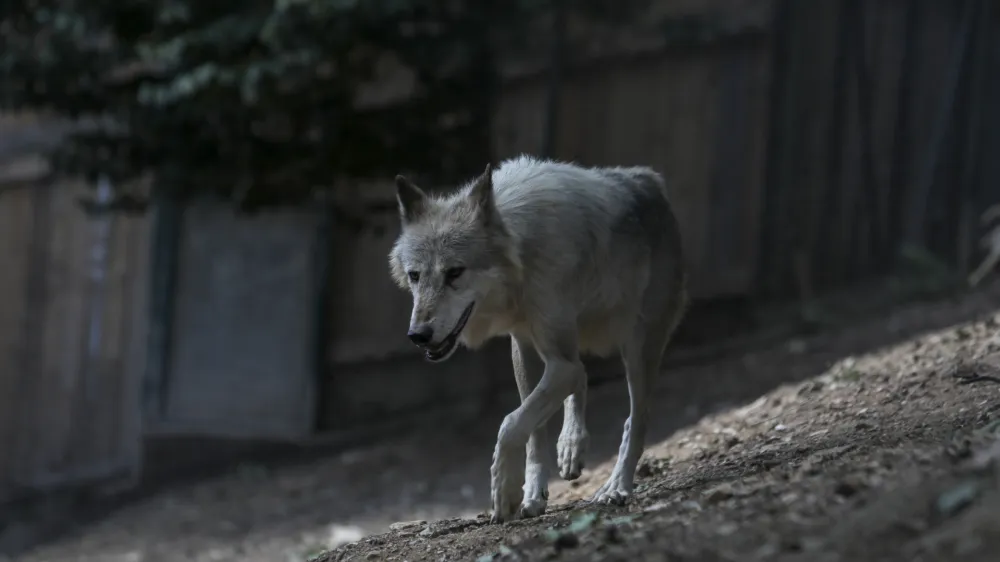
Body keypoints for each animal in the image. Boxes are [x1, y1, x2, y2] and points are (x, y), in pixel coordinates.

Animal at [388, 154, 688, 520]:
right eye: (415, 275)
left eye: (454, 272)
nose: (418, 335)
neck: (522, 253)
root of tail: (649, 179)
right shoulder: (524, 347)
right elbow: (531, 428)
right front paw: (531, 494)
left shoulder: (557, 361)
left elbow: (510, 423)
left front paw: (504, 490)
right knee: (582, 378)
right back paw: (572, 447)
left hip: (637, 349)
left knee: (635, 419)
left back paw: (617, 486)